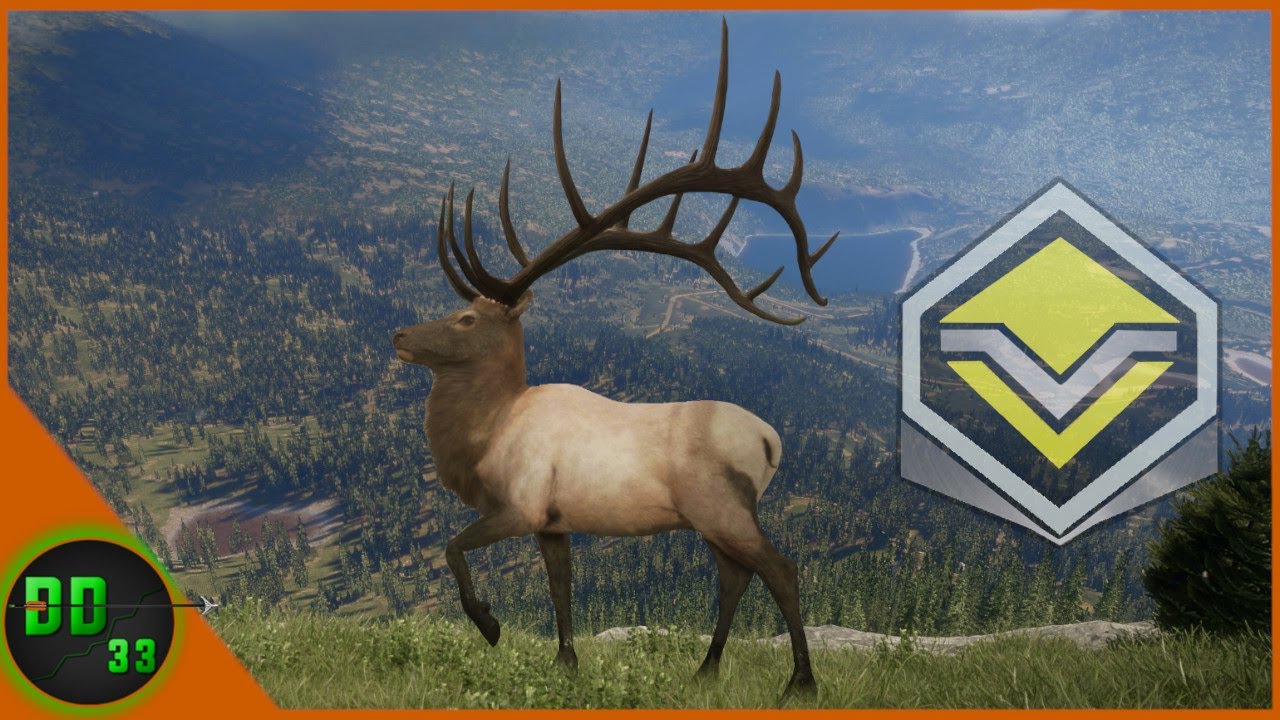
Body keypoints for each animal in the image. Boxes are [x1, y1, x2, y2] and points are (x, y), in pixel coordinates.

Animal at [392, 21, 836, 699]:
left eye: (467, 318)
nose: (399, 335)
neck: (486, 435)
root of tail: (770, 441)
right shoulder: (553, 520)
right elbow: (560, 589)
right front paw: (565, 662)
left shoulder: (519, 505)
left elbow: (453, 546)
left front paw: (490, 626)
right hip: (713, 518)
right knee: (734, 578)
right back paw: (705, 669)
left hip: (723, 507)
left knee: (781, 569)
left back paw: (800, 683)